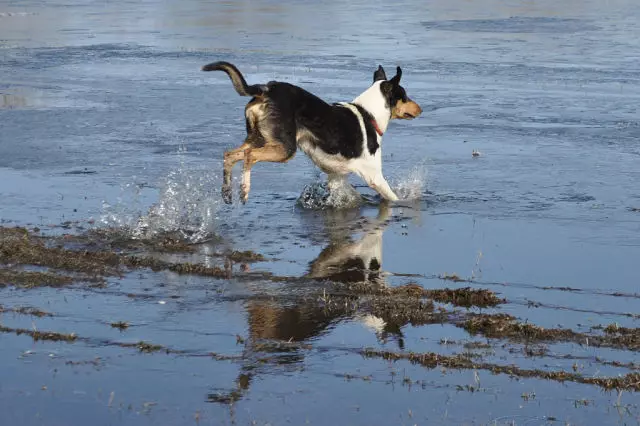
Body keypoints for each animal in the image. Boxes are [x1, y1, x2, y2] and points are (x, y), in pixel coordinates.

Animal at [200, 60, 420, 205]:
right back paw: (244, 191)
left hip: (259, 138)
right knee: (249, 156)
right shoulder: (374, 176)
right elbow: (393, 198)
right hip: (284, 149)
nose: (420, 109)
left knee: (230, 154)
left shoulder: (337, 177)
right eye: (404, 95)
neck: (370, 114)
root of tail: (266, 89)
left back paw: (227, 193)